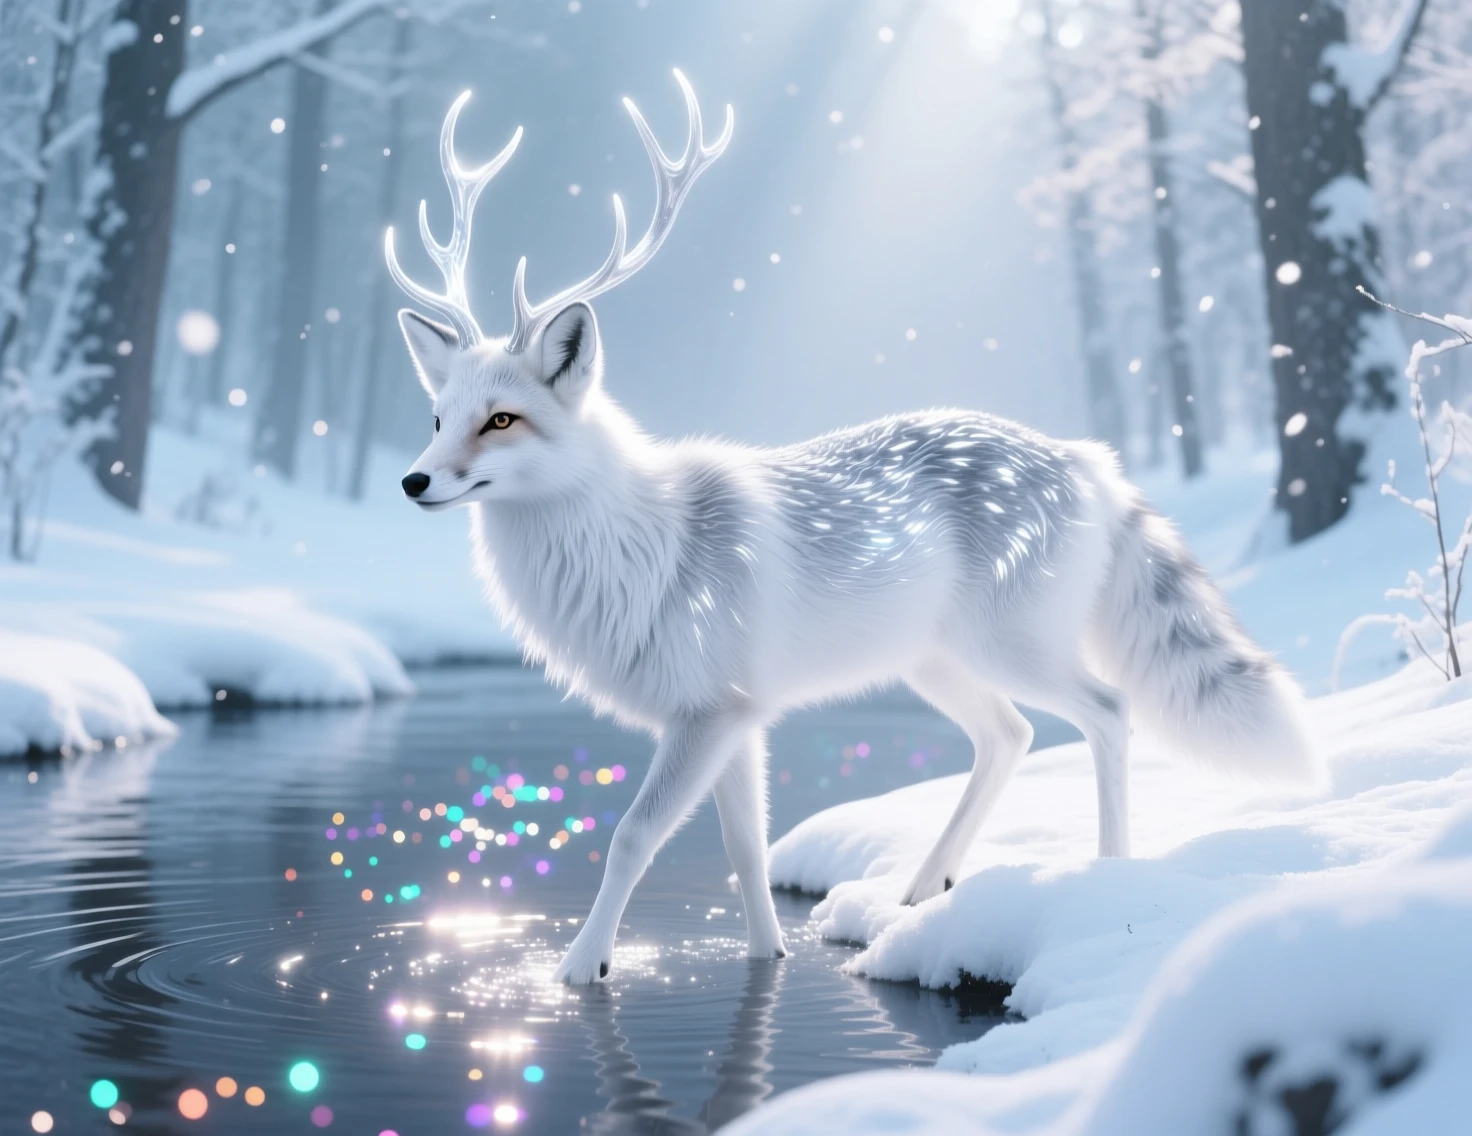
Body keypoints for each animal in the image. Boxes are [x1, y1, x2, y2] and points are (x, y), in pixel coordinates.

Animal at [385, 71, 1316, 985]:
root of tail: (1090, 458)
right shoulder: (737, 718)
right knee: (1009, 735)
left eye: (501, 421)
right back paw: (920, 890)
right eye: (437, 418)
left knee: (1109, 712)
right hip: (936, 663)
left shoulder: (707, 717)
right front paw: (767, 956)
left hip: (1013, 648)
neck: (643, 546)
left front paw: (582, 967)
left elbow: (632, 837)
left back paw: (1108, 876)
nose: (412, 481)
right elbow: (746, 849)